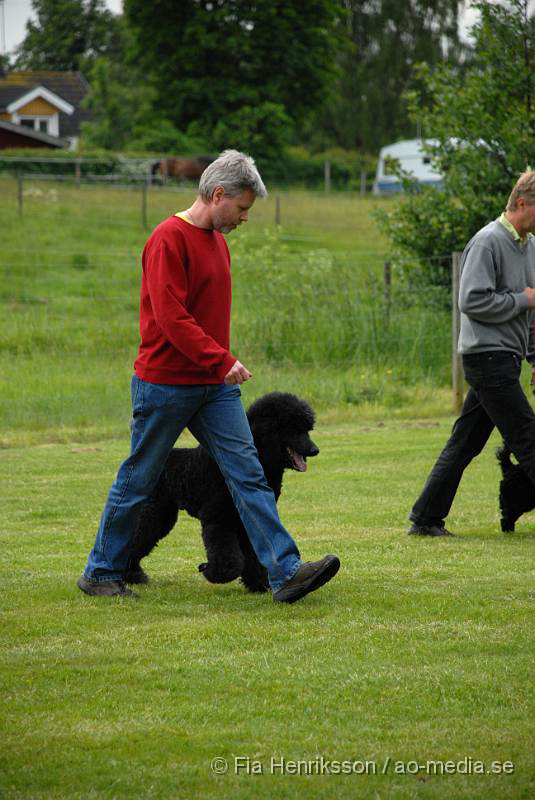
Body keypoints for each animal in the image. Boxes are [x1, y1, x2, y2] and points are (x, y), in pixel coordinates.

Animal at [125, 390, 318, 592]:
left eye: (307, 428)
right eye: (292, 427)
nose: (315, 450)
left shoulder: (246, 519)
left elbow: (253, 553)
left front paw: (258, 583)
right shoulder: (219, 517)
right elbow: (226, 556)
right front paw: (212, 572)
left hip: (163, 514)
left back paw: (133, 573)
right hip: (154, 510)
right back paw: (130, 574)